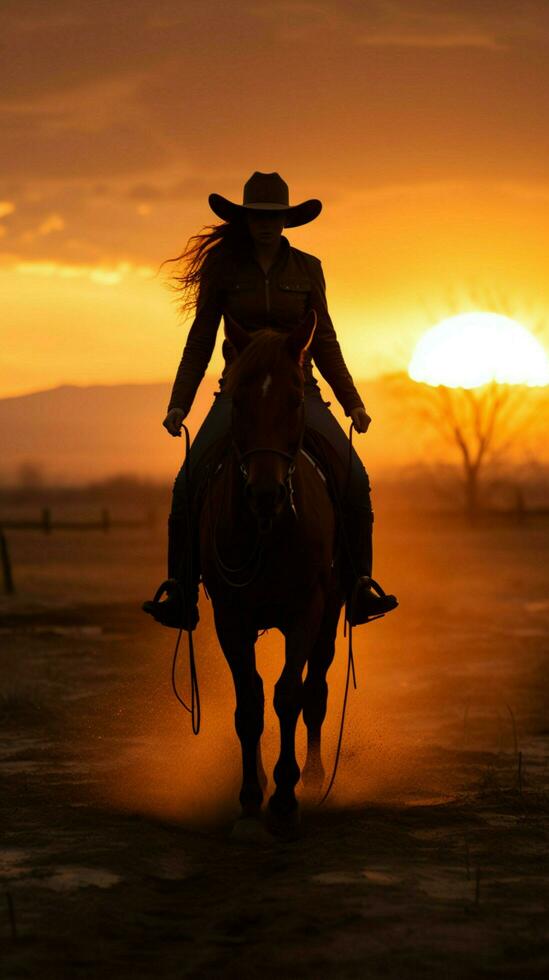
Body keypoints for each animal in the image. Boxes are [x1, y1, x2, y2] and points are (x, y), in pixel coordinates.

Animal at [197, 310, 344, 832]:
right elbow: (250, 703)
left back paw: (316, 778)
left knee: (316, 691)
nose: (266, 494)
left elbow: (288, 696)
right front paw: (249, 795)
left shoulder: (307, 613)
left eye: (295, 399)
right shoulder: (230, 618)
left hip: (331, 615)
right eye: (238, 400)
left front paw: (285, 795)